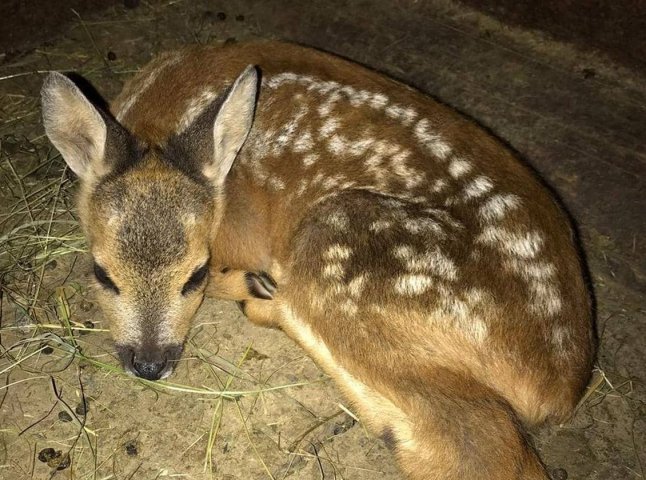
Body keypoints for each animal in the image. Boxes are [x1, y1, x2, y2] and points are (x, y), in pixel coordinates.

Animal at [41, 41, 596, 480]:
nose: (150, 364)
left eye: (194, 275)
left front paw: (247, 283)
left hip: (344, 245)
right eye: (102, 274)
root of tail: (561, 385)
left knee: (483, 450)